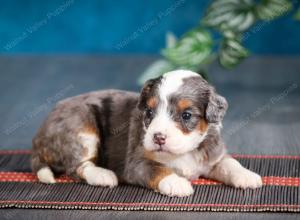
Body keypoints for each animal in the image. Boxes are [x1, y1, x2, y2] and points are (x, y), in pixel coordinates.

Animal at [31, 70, 262, 196]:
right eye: (149, 112)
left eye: (186, 115)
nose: (158, 137)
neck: (183, 152)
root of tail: (38, 137)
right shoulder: (136, 163)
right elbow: (157, 169)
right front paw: (177, 182)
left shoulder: (213, 154)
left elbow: (230, 163)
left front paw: (247, 176)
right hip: (81, 127)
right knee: (76, 166)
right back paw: (104, 175)